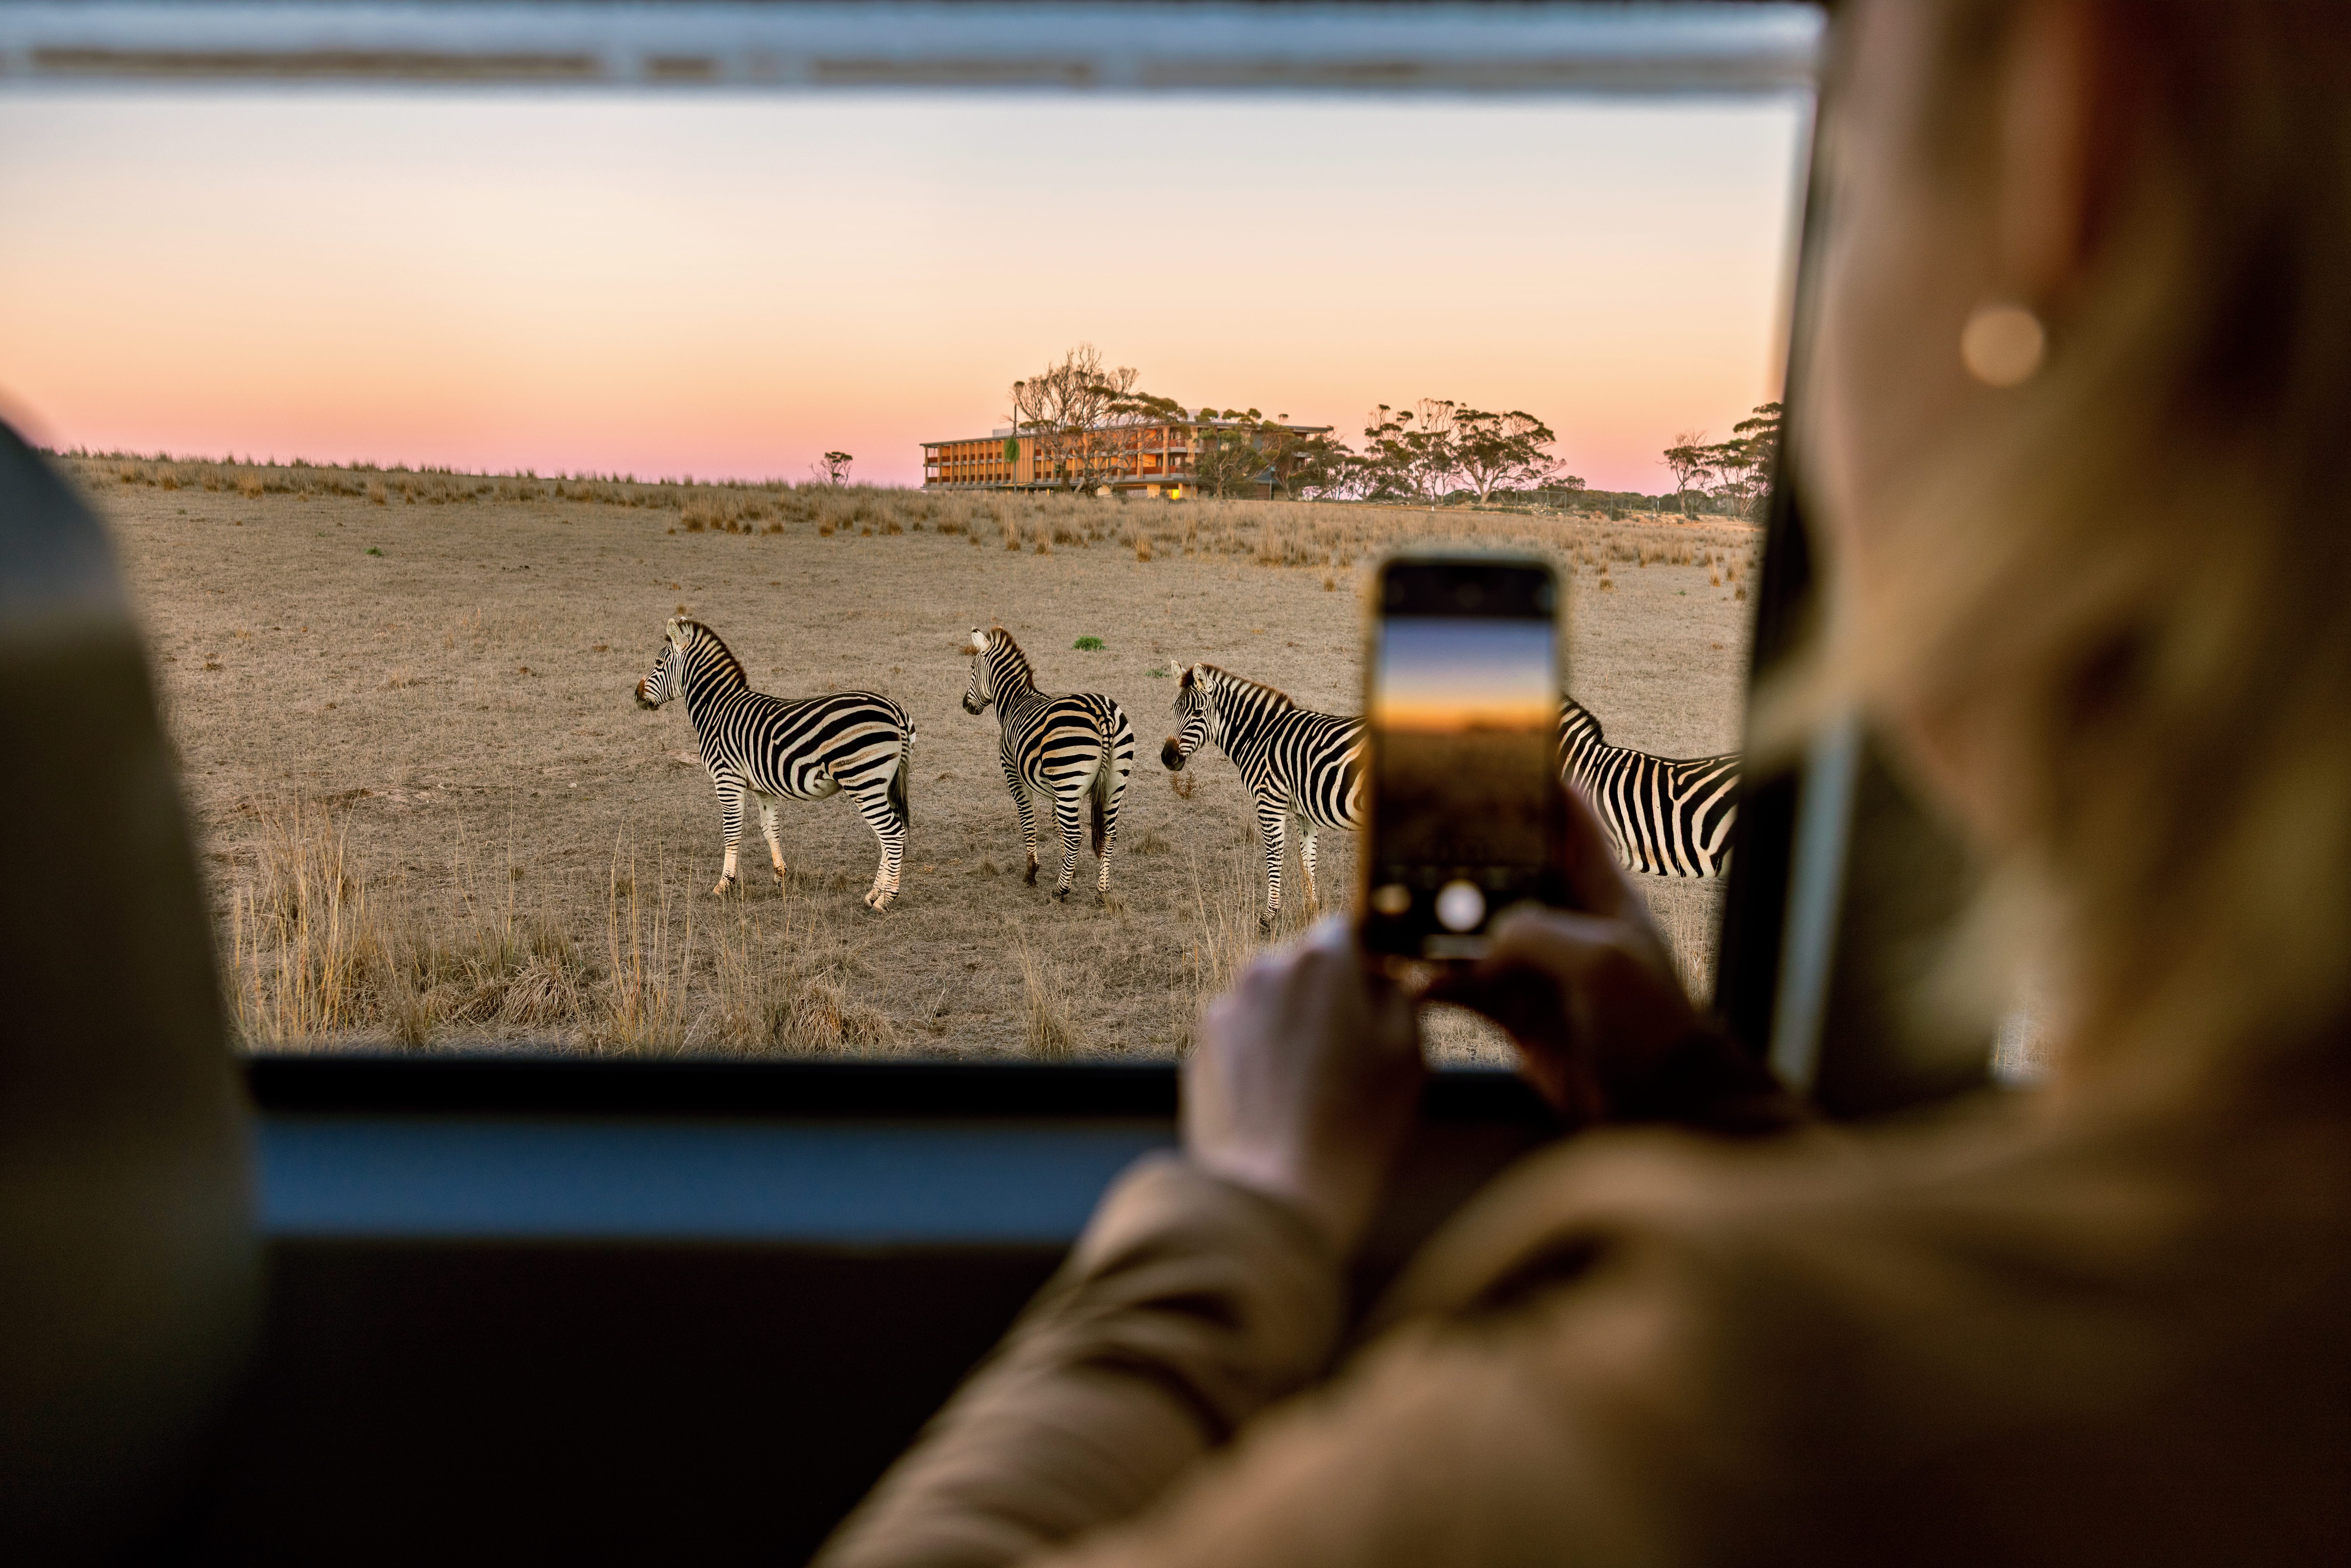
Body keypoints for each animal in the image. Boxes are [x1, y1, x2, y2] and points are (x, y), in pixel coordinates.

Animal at [635, 617, 915, 908]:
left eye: (658, 663)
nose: (636, 695)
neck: (718, 711)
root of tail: (895, 710)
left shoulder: (727, 779)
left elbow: (732, 832)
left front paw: (725, 885)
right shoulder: (762, 787)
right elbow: (771, 829)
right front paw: (781, 877)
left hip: (863, 780)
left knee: (893, 833)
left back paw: (886, 899)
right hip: (883, 784)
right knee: (890, 836)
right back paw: (874, 894)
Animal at [963, 626, 1136, 901]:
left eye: (972, 667)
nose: (965, 706)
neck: (1014, 703)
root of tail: (1102, 714)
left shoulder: (1014, 775)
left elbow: (1029, 822)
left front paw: (1033, 872)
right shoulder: (1058, 790)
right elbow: (1057, 823)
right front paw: (1070, 869)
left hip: (1070, 778)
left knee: (1076, 836)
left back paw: (1060, 891)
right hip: (1114, 782)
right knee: (1109, 834)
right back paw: (1103, 890)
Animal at [1161, 664, 1365, 929]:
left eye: (1197, 713)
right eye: (1173, 711)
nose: (1167, 757)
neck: (1260, 737)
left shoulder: (1269, 802)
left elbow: (1274, 858)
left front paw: (1270, 916)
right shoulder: (1303, 811)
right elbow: (1308, 861)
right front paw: (1312, 910)